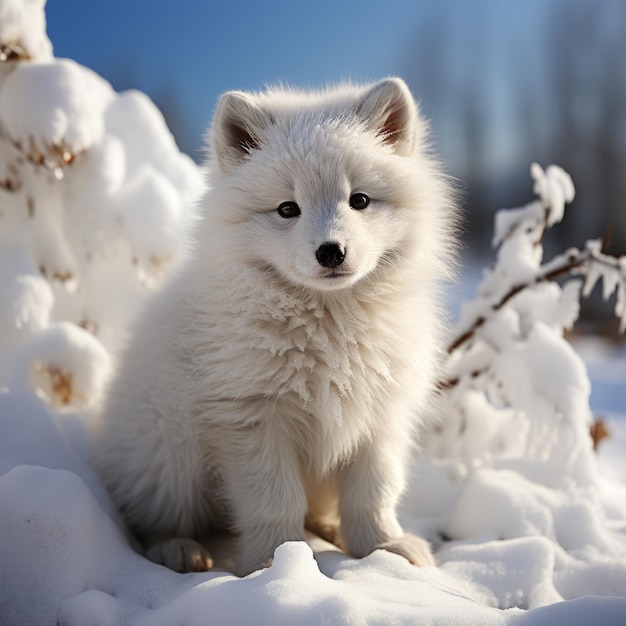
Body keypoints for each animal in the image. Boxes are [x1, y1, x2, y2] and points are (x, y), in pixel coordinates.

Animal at [91, 78, 454, 576]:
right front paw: (279, 564)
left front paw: (382, 549)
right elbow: (275, 502)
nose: (331, 251)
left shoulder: (379, 418)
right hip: (171, 459)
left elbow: (373, 494)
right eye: (287, 209)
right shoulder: (253, 420)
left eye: (358, 200)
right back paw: (178, 549)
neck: (330, 324)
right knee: (149, 520)